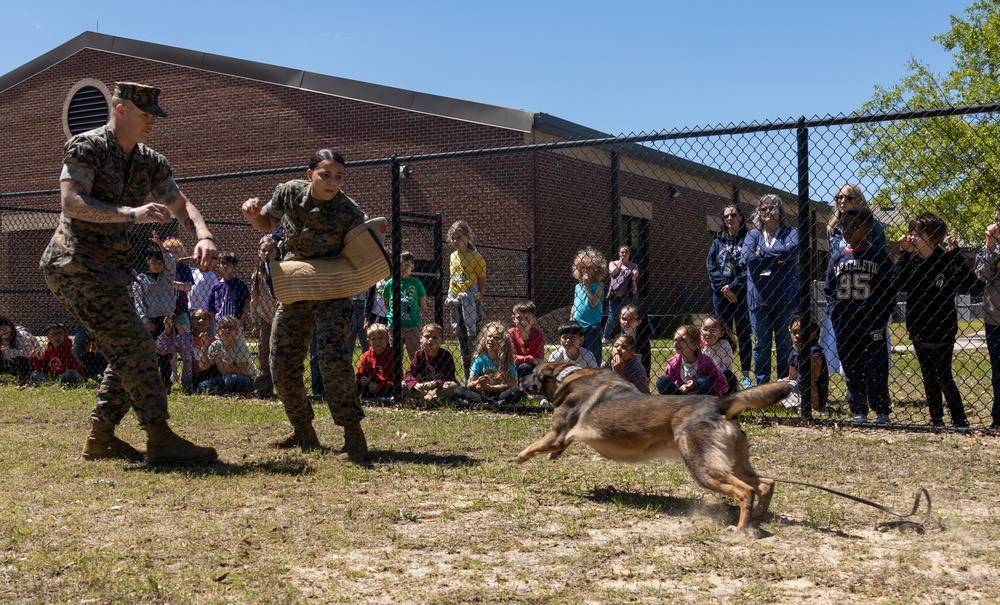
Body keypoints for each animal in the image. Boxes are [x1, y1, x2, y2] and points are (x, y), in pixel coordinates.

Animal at [520, 360, 792, 528]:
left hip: (703, 468)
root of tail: (720, 404)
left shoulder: (558, 433)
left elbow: (535, 445)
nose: (520, 379)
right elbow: (557, 446)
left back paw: (740, 528)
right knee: (766, 484)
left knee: (745, 491)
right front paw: (553, 456)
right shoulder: (563, 436)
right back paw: (757, 516)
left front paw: (520, 458)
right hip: (733, 463)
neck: (565, 375)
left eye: (532, 373)